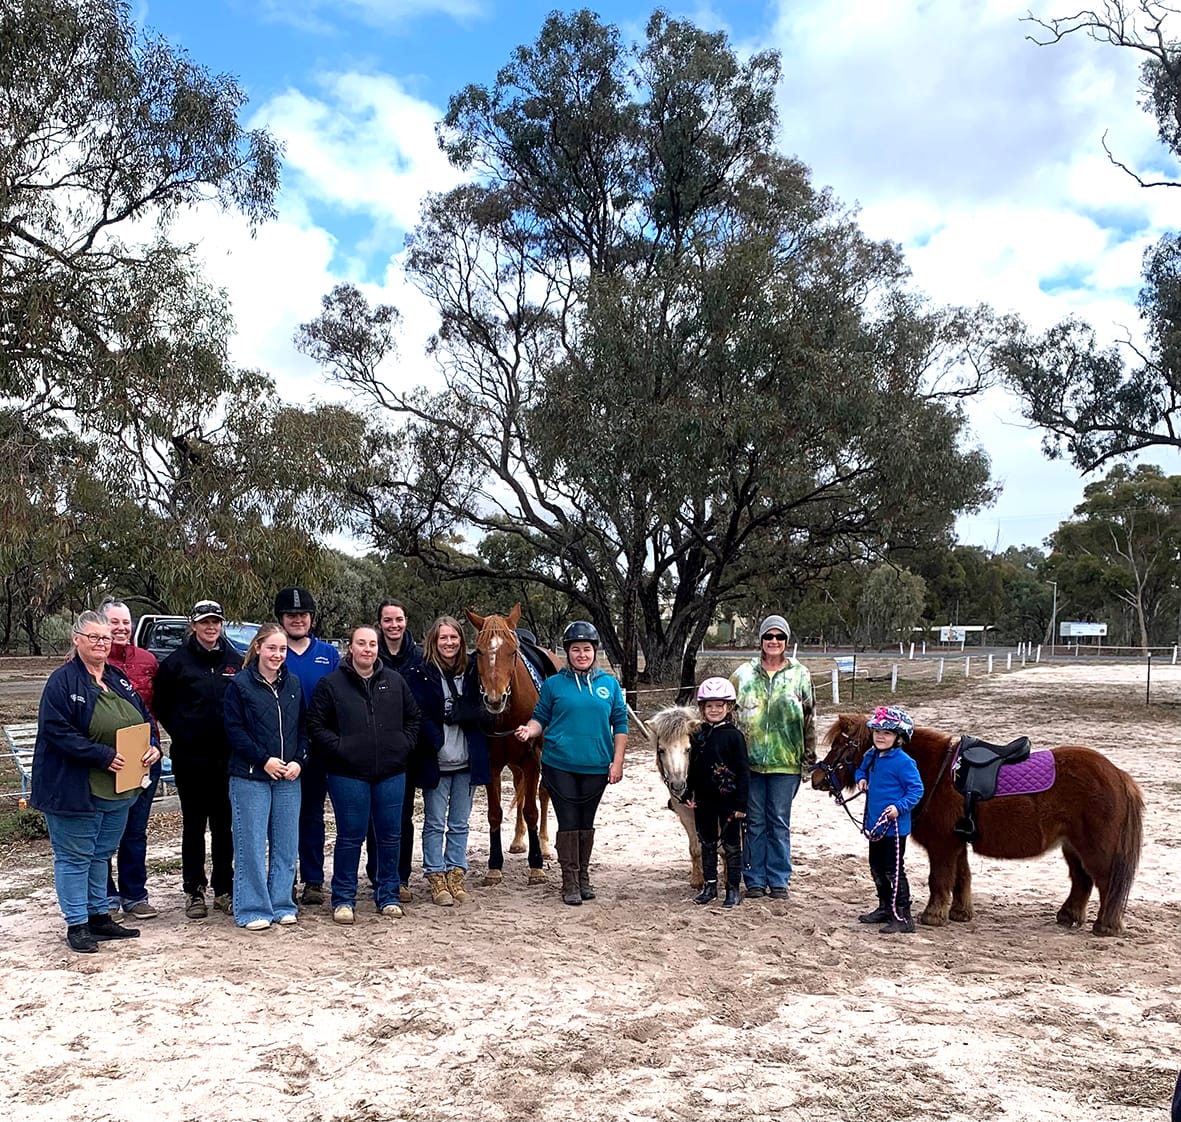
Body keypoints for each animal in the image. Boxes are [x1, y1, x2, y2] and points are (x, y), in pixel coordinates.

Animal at [465, 605, 554, 886]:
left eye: (513, 651)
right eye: (479, 651)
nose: (495, 700)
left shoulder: (532, 759)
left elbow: (532, 810)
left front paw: (536, 866)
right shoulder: (492, 765)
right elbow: (495, 813)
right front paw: (494, 866)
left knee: (542, 794)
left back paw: (545, 846)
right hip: (514, 765)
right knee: (519, 787)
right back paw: (517, 840)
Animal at [647, 705, 705, 889]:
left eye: (688, 749)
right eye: (661, 750)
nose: (678, 785)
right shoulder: (686, 814)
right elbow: (695, 848)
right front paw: (697, 880)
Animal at [811, 714, 1144, 936]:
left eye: (843, 745)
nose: (816, 777)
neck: (934, 770)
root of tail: (1118, 774)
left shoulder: (943, 845)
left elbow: (939, 880)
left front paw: (933, 915)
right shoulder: (957, 843)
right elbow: (961, 878)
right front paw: (960, 913)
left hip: (1094, 848)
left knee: (1106, 882)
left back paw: (1106, 926)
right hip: (1072, 847)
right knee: (1081, 881)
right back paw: (1069, 916)